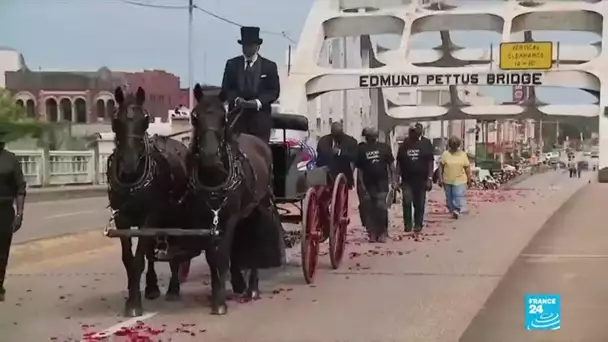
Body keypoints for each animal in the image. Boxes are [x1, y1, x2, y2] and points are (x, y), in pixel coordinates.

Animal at [107, 87, 190, 316]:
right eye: (115, 121)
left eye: (145, 120)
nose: (129, 165)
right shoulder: (122, 220)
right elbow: (129, 260)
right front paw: (133, 294)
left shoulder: (149, 217)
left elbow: (138, 259)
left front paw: (134, 303)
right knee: (153, 253)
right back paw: (152, 287)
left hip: (173, 217)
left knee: (174, 251)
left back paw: (173, 288)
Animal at [180, 84, 284, 314]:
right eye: (194, 117)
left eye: (223, 117)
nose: (210, 157)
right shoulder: (206, 221)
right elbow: (213, 257)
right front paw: (217, 295)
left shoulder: (230, 219)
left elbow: (222, 256)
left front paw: (220, 302)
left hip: (259, 206)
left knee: (255, 239)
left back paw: (252, 287)